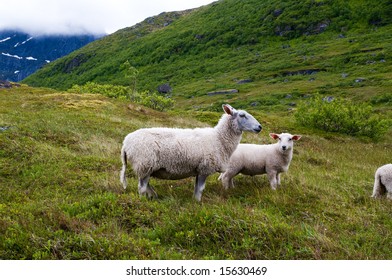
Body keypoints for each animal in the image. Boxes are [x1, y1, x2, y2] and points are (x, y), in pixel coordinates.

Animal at [118, 104, 262, 200]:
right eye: (242, 115)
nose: (259, 127)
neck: (218, 139)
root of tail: (125, 143)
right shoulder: (205, 168)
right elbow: (200, 189)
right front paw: (198, 203)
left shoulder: (199, 169)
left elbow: (196, 188)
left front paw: (194, 201)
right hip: (145, 164)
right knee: (141, 187)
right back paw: (144, 201)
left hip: (147, 167)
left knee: (146, 185)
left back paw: (153, 195)